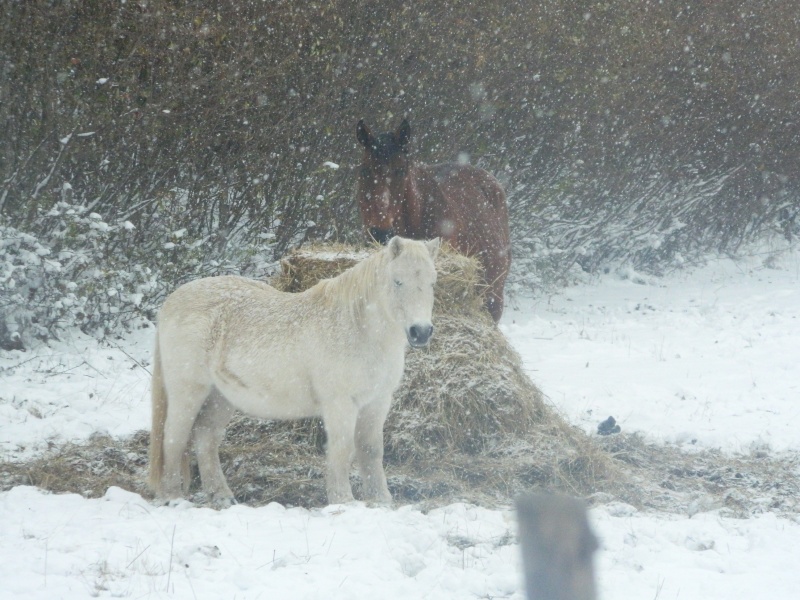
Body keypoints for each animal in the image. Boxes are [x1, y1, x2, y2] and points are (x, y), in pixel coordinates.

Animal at [148, 237, 438, 508]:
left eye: (432, 283)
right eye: (397, 281)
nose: (420, 332)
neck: (357, 328)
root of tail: (171, 302)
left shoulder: (377, 401)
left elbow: (371, 450)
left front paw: (381, 500)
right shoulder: (340, 404)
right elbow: (342, 449)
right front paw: (343, 500)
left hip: (221, 397)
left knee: (206, 437)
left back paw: (221, 497)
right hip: (188, 391)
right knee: (173, 438)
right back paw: (173, 497)